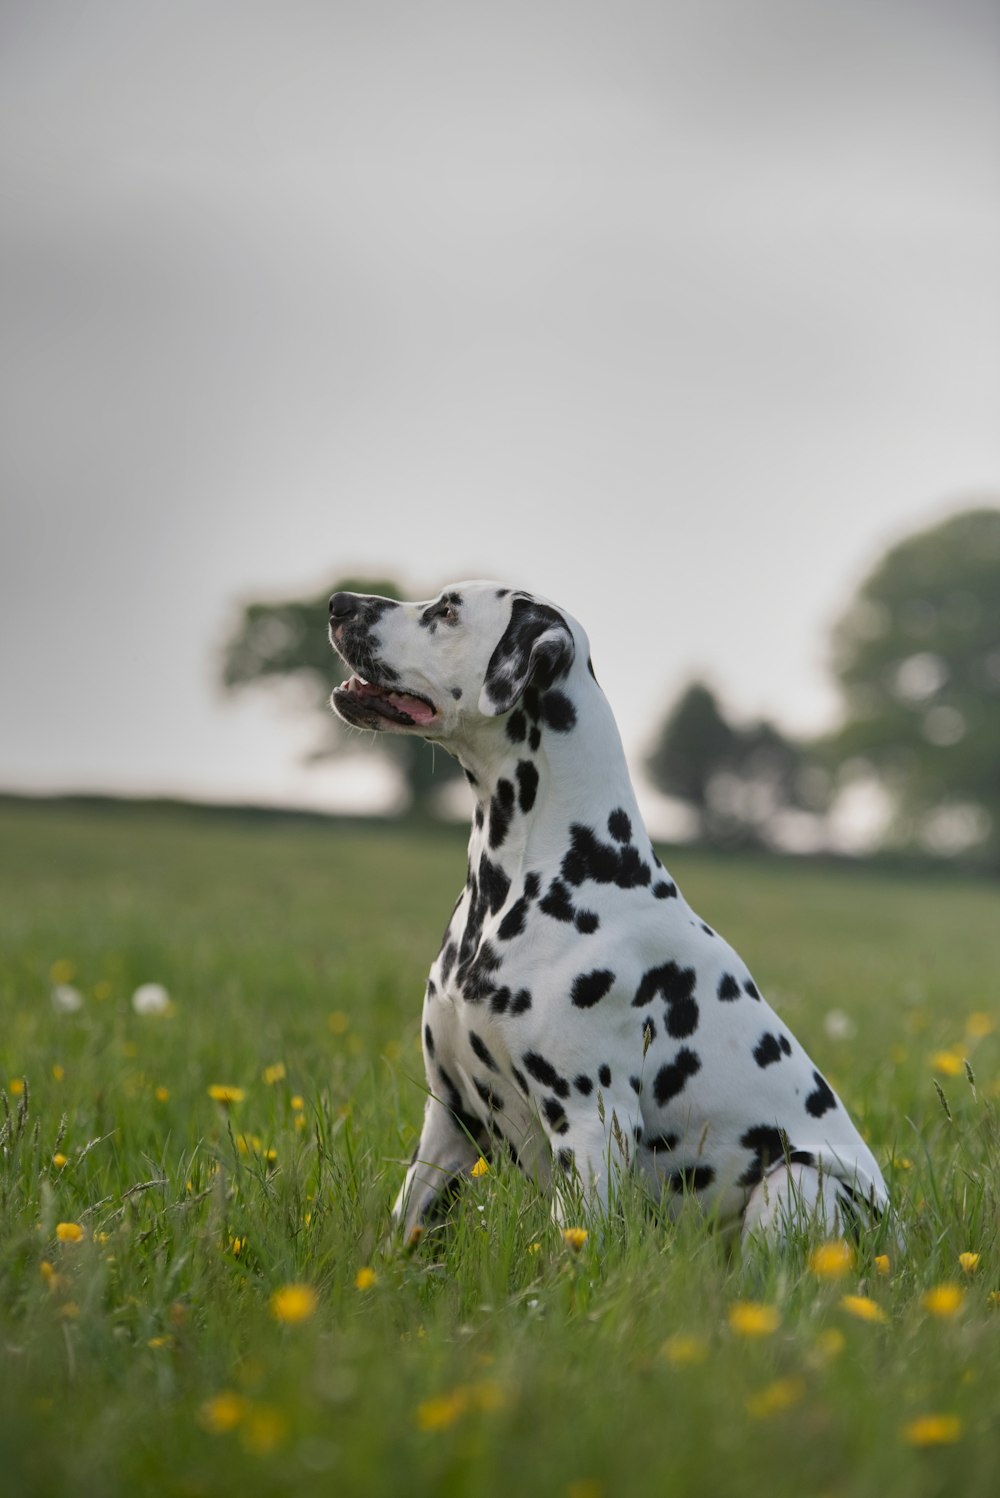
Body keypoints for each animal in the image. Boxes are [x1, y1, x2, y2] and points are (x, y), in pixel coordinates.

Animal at [327, 578, 892, 1246]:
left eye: (447, 610)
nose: (337, 602)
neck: (525, 881)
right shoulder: (449, 1118)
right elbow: (405, 1226)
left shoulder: (592, 1127)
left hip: (795, 1180)